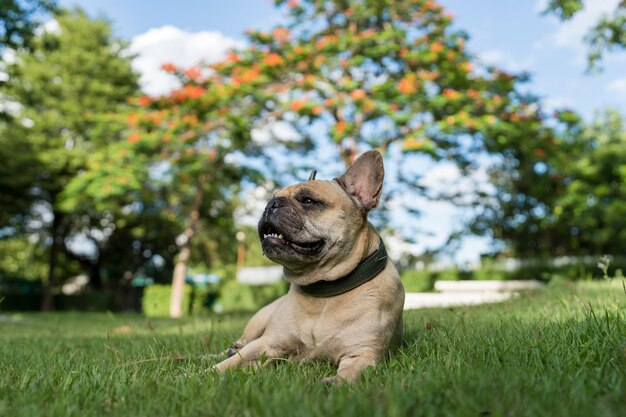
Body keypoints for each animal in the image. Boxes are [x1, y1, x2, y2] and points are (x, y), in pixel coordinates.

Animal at [212, 150, 402, 384]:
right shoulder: (267, 343)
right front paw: (197, 375)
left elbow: (349, 375)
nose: (271, 204)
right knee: (238, 346)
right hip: (258, 321)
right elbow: (226, 364)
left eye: (308, 200)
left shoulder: (363, 354)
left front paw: (332, 383)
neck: (324, 292)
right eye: (271, 197)